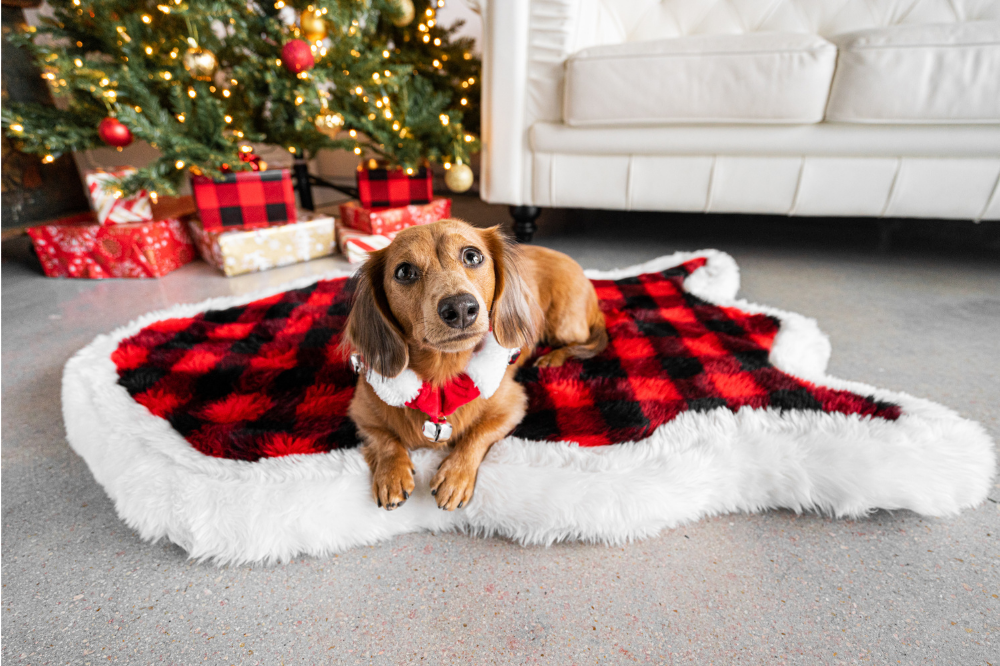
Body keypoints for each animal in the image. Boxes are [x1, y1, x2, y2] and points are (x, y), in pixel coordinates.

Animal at [344, 218, 604, 508]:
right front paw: (391, 473)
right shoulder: (361, 411)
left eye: (472, 256)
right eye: (404, 272)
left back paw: (552, 357)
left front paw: (455, 476)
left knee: (581, 340)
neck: (441, 378)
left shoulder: (512, 405)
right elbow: (384, 438)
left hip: (564, 324)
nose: (459, 308)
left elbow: (477, 433)